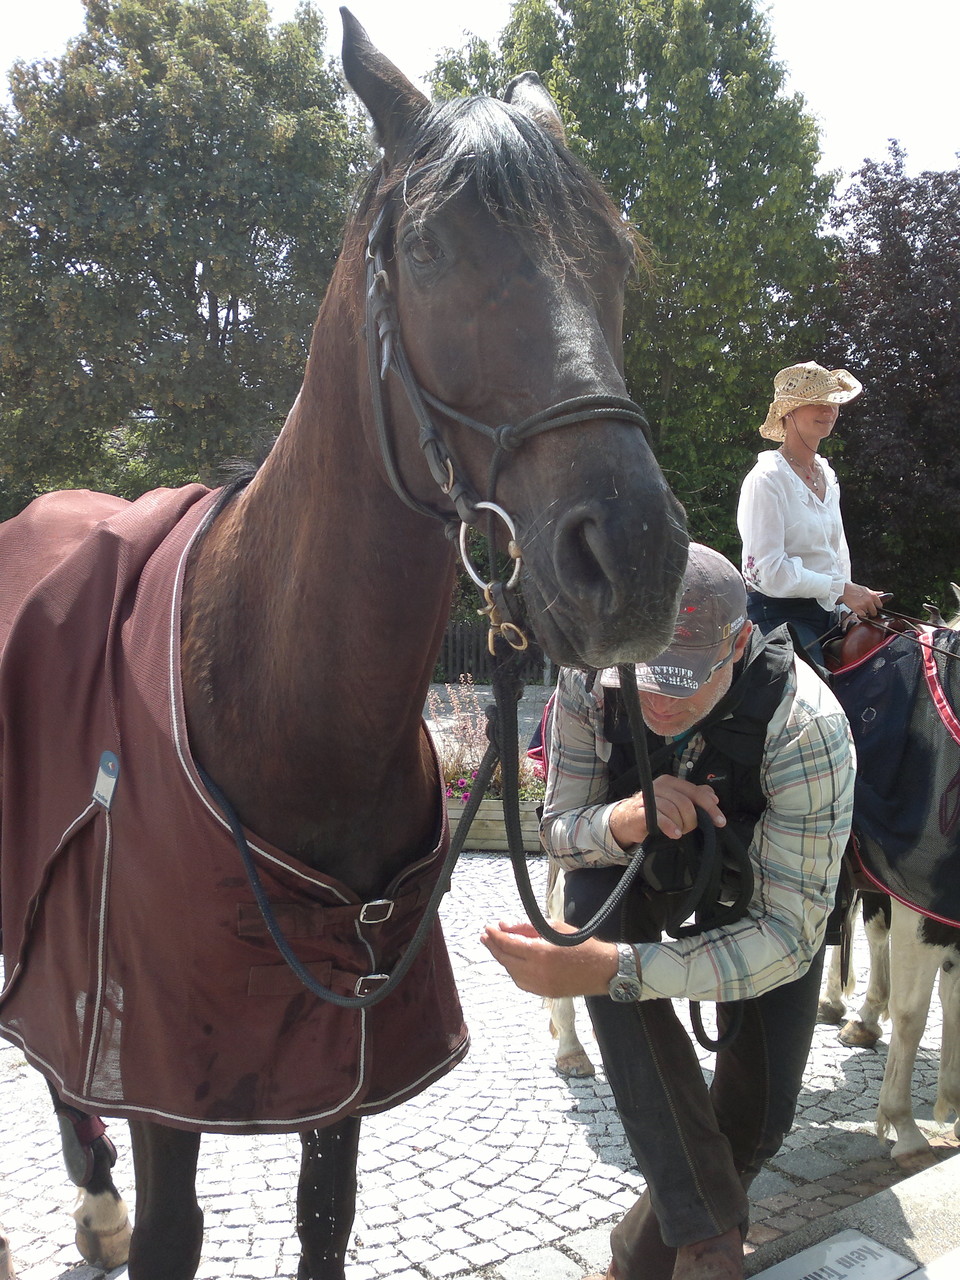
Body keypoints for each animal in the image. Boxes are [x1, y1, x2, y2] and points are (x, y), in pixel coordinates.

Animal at [0, 12, 691, 1280]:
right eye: (425, 248)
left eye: (616, 254)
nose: (634, 554)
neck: (288, 706)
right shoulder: (162, 1061)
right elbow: (171, 1223)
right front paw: (128, 1210)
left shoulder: (346, 1067)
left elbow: (327, 1213)